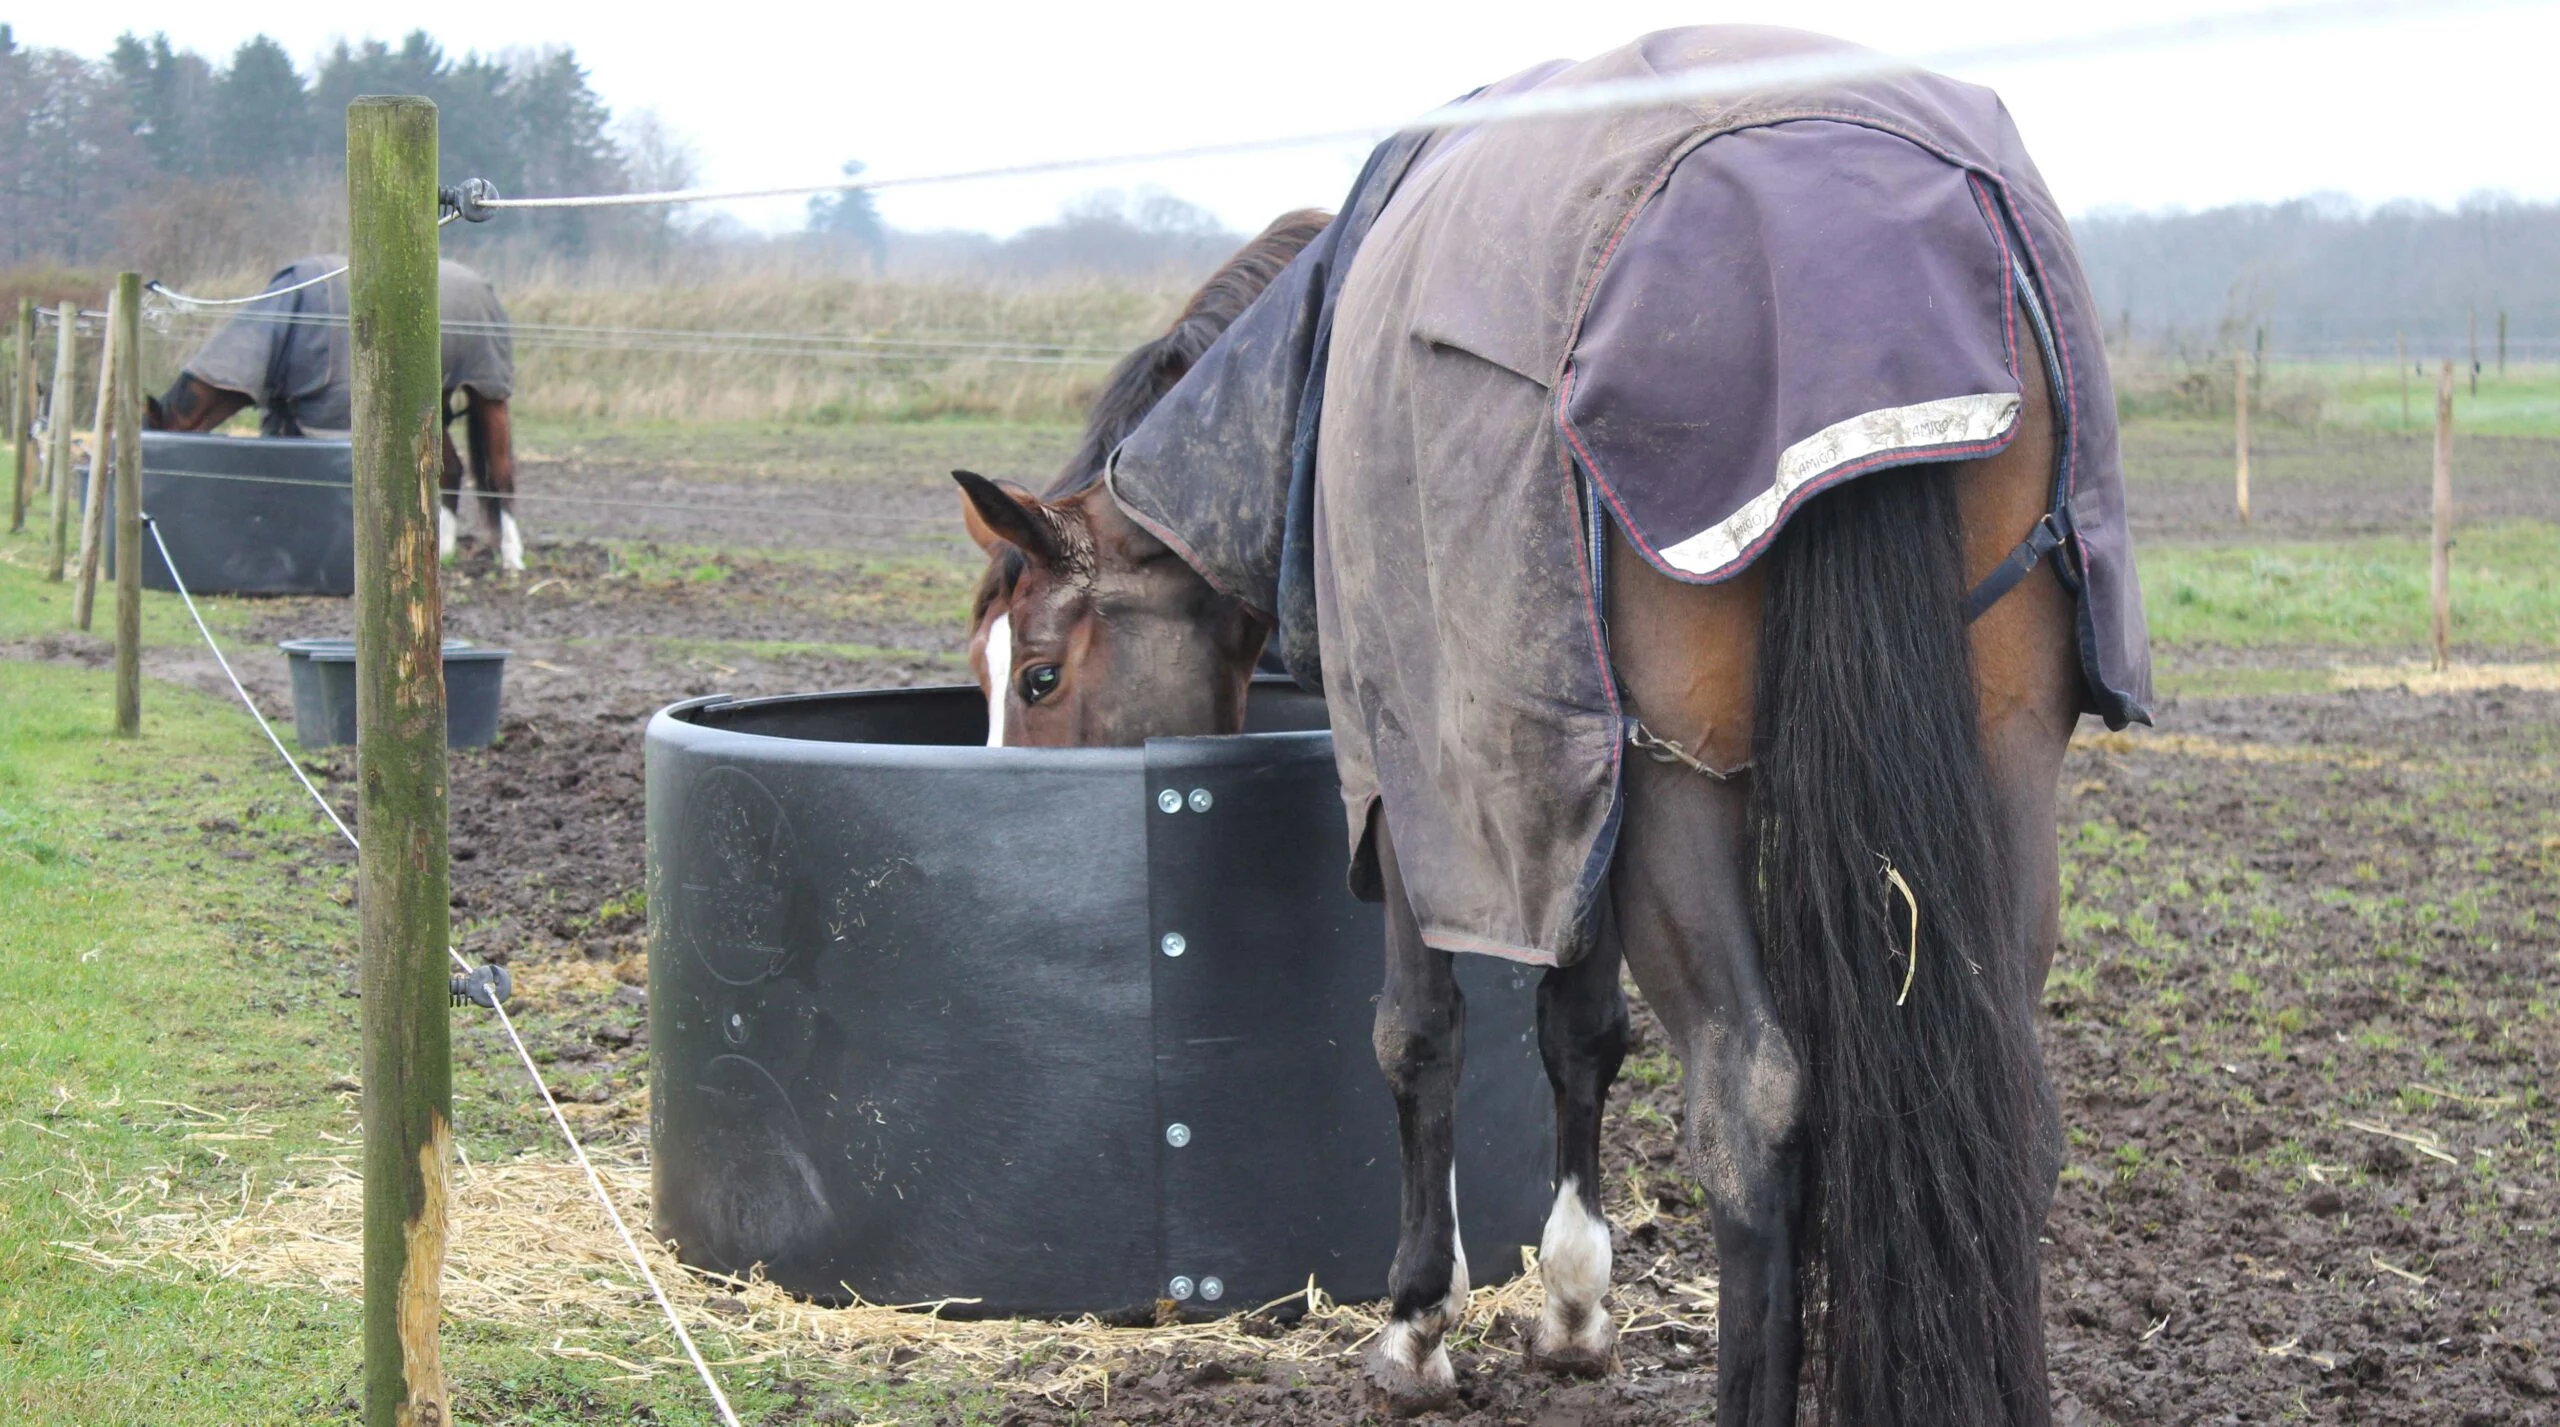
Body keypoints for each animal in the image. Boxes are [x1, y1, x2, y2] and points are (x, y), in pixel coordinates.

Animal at [145, 256, 526, 572]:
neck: (290, 324)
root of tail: (484, 286)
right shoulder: (288, 419)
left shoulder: (330, 422)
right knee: (453, 471)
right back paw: (443, 553)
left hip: (488, 392)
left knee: (501, 474)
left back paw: (511, 558)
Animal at [955, 28, 2155, 1426]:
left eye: (1039, 676)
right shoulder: (1567, 796)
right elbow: (1580, 1028)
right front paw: (1575, 1302)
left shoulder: (1416, 772)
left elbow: (1418, 1033)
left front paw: (1419, 1322)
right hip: (1999, 763)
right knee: (2009, 1101)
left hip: (1680, 787)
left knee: (1750, 1106)